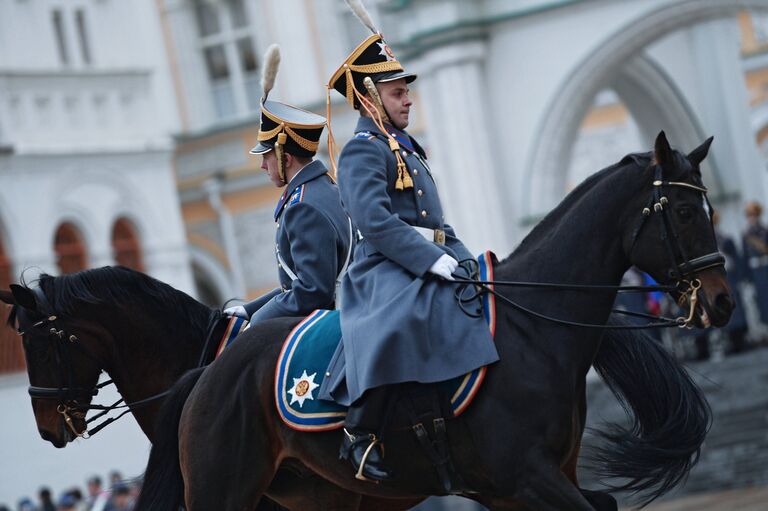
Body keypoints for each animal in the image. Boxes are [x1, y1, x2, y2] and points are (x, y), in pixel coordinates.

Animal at [136, 133, 732, 511]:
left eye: (707, 209)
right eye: (683, 212)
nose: (723, 301)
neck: (533, 335)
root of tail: (210, 375)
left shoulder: (531, 483)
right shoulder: (526, 479)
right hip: (225, 490)